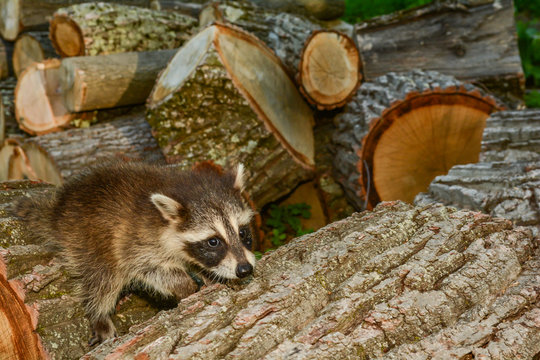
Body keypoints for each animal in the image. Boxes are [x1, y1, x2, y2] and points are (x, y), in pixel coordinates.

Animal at [13, 161, 255, 346]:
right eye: (213, 241)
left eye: (243, 232)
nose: (245, 269)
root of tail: (59, 209)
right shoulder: (135, 240)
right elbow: (148, 268)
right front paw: (185, 285)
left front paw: (211, 274)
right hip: (88, 238)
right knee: (102, 279)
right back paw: (98, 314)